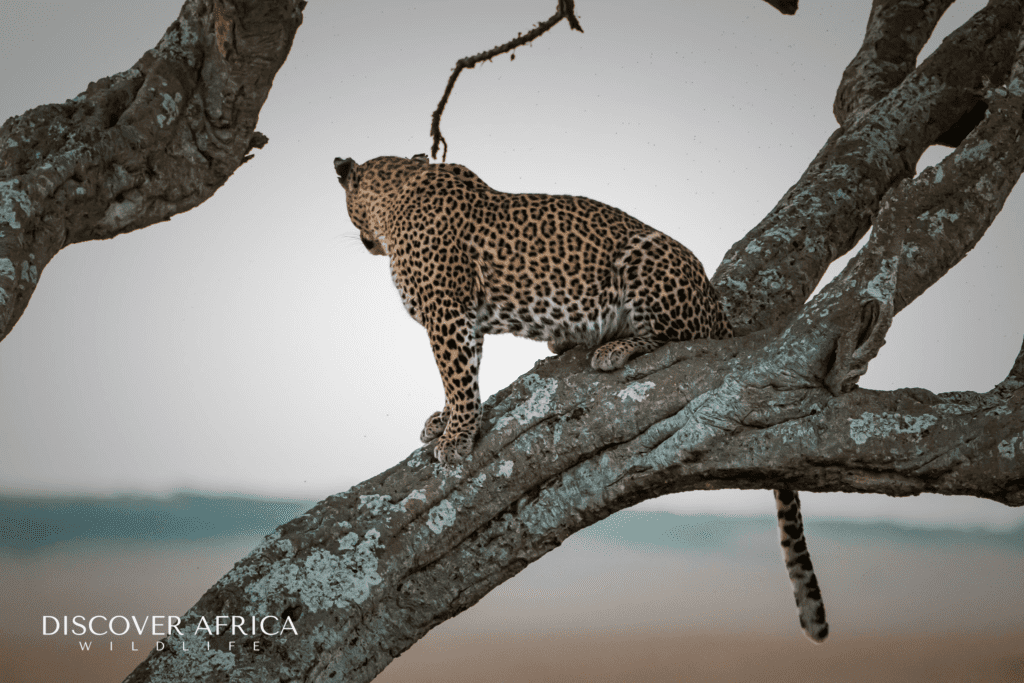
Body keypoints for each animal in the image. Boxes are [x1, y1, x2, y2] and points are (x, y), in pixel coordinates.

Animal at [334, 153, 827, 642]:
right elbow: (461, 377)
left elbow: (456, 375)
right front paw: (446, 421)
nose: (365, 244)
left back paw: (614, 347)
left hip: (646, 262)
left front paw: (456, 437)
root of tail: (715, 304)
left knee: (677, 337)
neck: (396, 196)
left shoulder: (448, 312)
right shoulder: (460, 319)